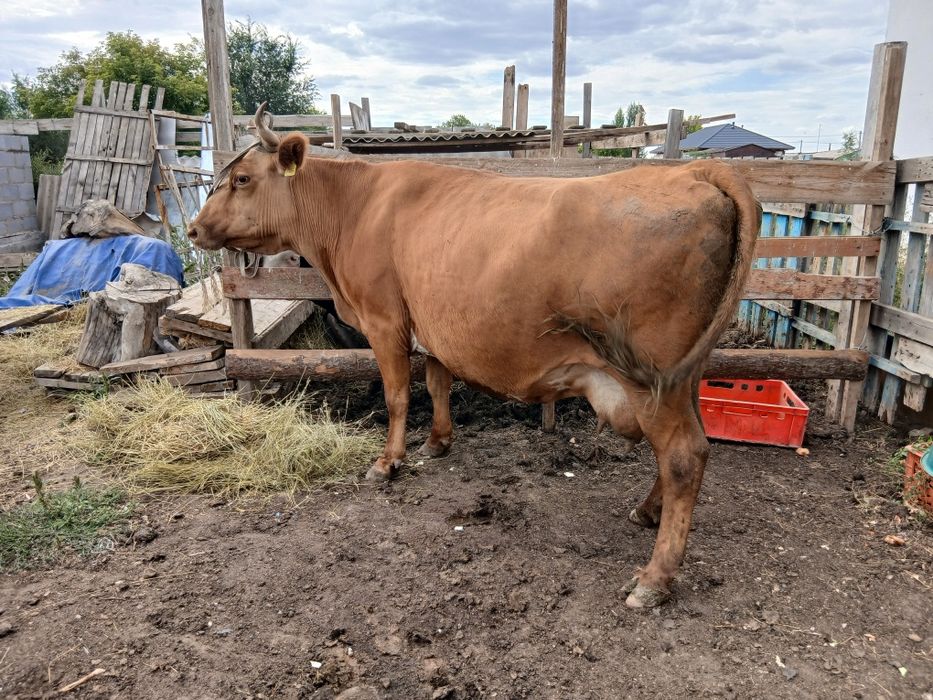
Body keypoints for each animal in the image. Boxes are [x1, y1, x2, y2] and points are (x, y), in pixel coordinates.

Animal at [189, 103, 761, 608]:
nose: (193, 229)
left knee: (684, 455)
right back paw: (646, 512)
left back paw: (654, 578)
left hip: (651, 376)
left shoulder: (384, 319)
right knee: (686, 446)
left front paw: (387, 462)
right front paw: (438, 442)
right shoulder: (433, 320)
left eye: (242, 180)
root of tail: (697, 172)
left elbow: (398, 395)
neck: (355, 207)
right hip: (682, 376)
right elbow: (438, 381)